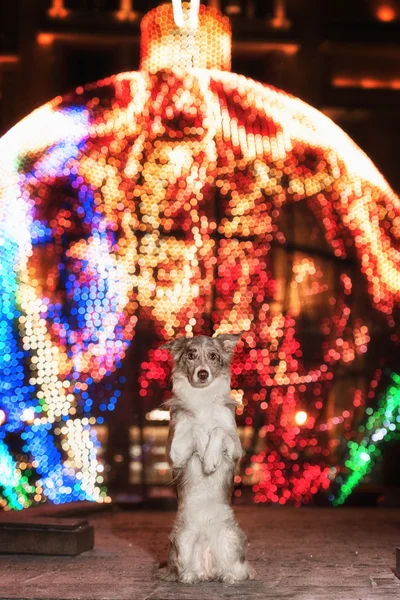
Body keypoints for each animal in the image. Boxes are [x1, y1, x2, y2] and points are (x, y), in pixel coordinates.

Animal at [156, 330, 256, 584]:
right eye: (191, 355)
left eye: (212, 356)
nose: (202, 373)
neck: (201, 398)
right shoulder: (175, 453)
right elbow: (196, 428)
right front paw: (204, 451)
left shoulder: (236, 450)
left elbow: (217, 430)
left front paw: (210, 460)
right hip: (181, 541)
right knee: (187, 573)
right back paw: (194, 576)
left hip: (231, 537)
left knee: (237, 570)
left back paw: (230, 576)